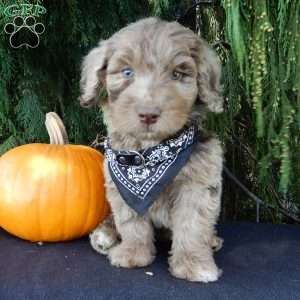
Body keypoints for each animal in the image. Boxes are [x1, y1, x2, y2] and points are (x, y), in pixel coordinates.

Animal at [78, 17, 224, 282]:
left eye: (178, 74)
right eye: (127, 72)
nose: (148, 114)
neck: (149, 154)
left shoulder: (197, 185)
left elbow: (193, 225)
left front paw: (193, 264)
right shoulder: (120, 186)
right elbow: (130, 222)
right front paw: (133, 254)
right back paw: (104, 236)